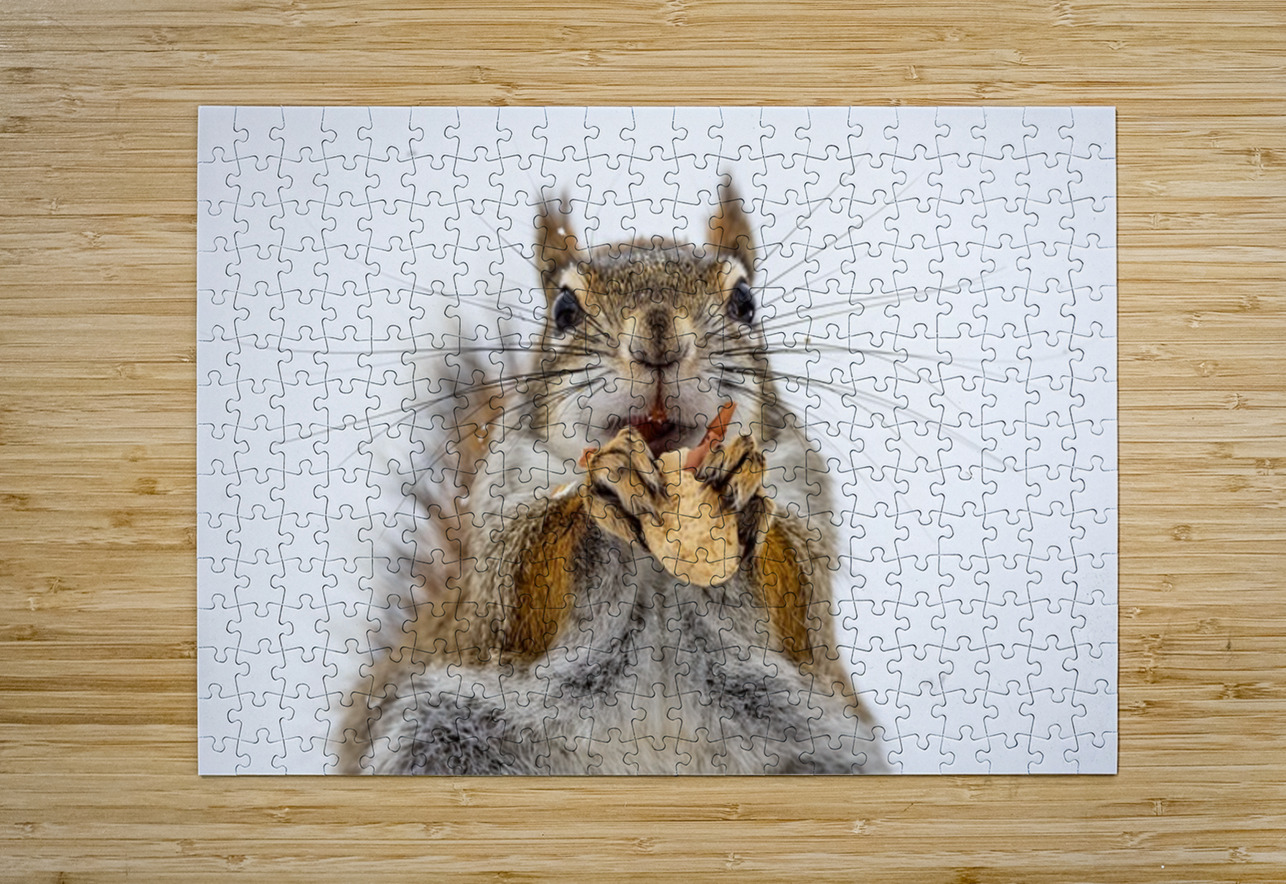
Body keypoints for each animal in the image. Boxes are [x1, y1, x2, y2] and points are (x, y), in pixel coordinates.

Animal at [339, 179, 881, 774]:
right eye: (564, 310)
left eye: (745, 303)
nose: (658, 338)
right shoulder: (499, 525)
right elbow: (517, 597)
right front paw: (604, 483)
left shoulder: (804, 493)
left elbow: (799, 607)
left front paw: (741, 495)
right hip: (433, 738)